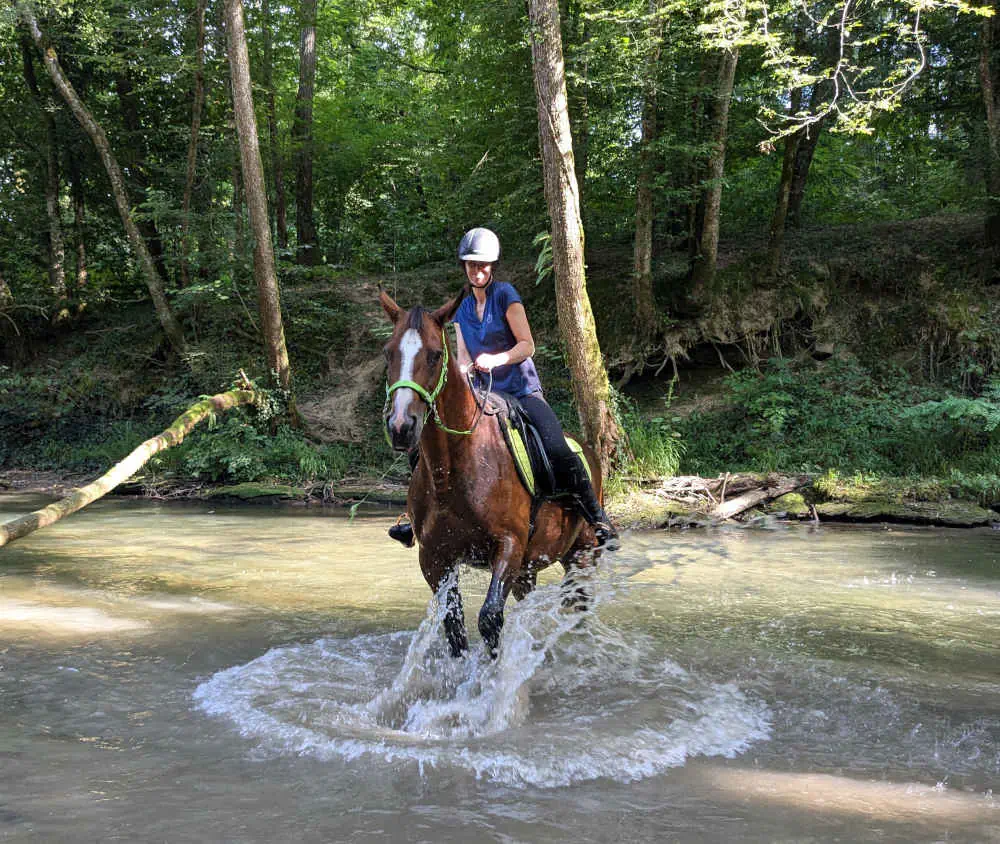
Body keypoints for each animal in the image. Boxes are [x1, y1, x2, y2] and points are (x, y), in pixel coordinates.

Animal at [379, 288, 604, 657]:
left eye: (435, 355)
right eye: (388, 353)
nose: (401, 427)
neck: (451, 471)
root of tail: (587, 449)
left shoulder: (508, 544)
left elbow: (489, 618)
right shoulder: (434, 557)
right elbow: (454, 625)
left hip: (582, 553)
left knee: (580, 606)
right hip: (530, 567)